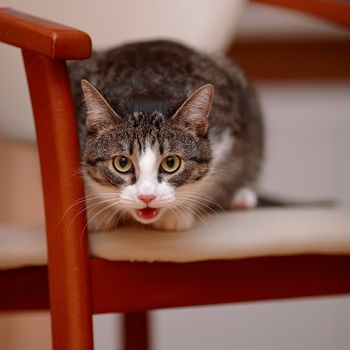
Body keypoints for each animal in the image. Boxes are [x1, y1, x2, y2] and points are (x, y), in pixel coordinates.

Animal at [68, 39, 264, 231]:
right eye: (122, 163)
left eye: (171, 163)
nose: (146, 197)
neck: (146, 89)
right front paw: (96, 210)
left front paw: (177, 214)